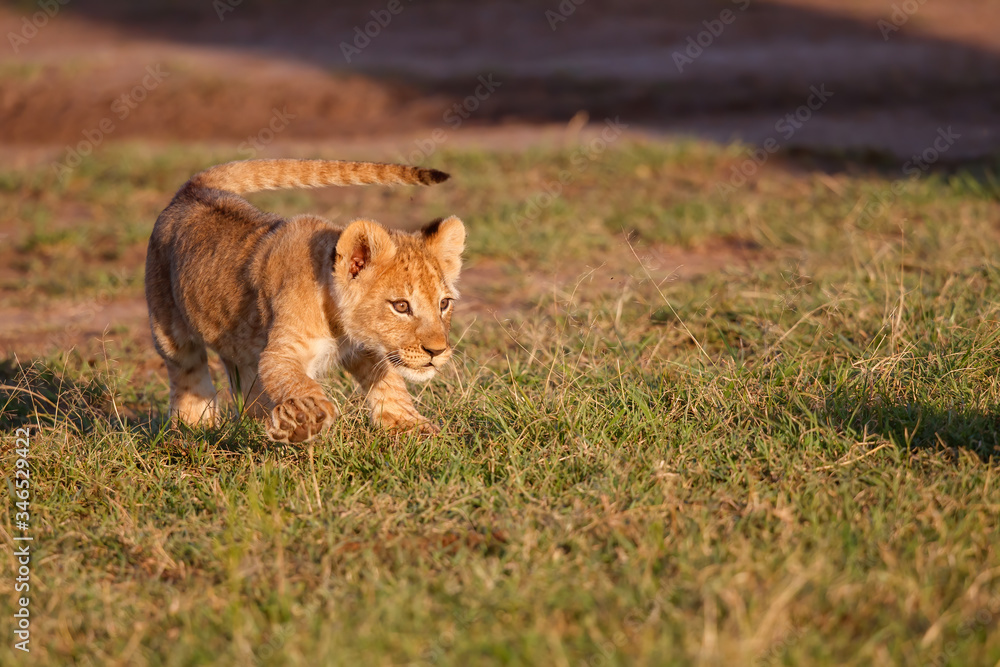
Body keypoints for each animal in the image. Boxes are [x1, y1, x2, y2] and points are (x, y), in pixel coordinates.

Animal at [144, 158, 464, 443]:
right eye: (401, 306)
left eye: (443, 304)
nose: (437, 351)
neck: (338, 323)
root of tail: (193, 188)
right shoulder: (280, 354)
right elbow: (302, 386)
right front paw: (305, 420)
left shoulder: (363, 349)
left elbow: (390, 380)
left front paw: (410, 425)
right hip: (169, 329)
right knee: (187, 370)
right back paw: (194, 425)